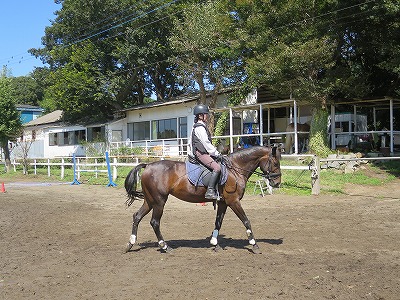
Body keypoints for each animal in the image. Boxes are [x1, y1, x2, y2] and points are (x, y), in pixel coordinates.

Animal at [123, 146, 282, 254]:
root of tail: (148, 165)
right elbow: (246, 221)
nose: (277, 183)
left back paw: (130, 243)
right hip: (159, 202)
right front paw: (254, 244)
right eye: (275, 163)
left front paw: (214, 243)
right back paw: (165, 246)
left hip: (150, 201)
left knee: (137, 216)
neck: (235, 169)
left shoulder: (223, 203)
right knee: (154, 222)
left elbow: (218, 222)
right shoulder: (234, 201)